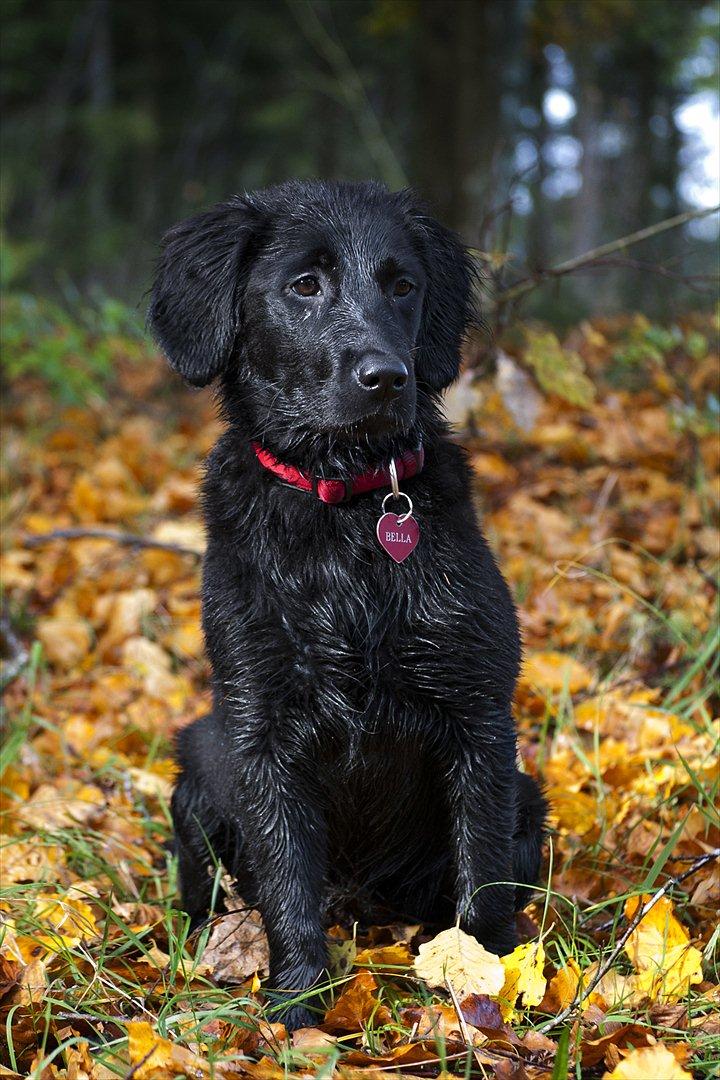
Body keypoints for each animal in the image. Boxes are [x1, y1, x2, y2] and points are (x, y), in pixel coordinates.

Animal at [152, 179, 546, 1028]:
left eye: (403, 285)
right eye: (305, 284)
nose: (388, 376)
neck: (343, 511)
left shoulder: (478, 718)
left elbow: (482, 875)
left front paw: (489, 986)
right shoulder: (262, 736)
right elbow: (289, 889)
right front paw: (298, 1008)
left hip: (528, 797)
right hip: (197, 771)